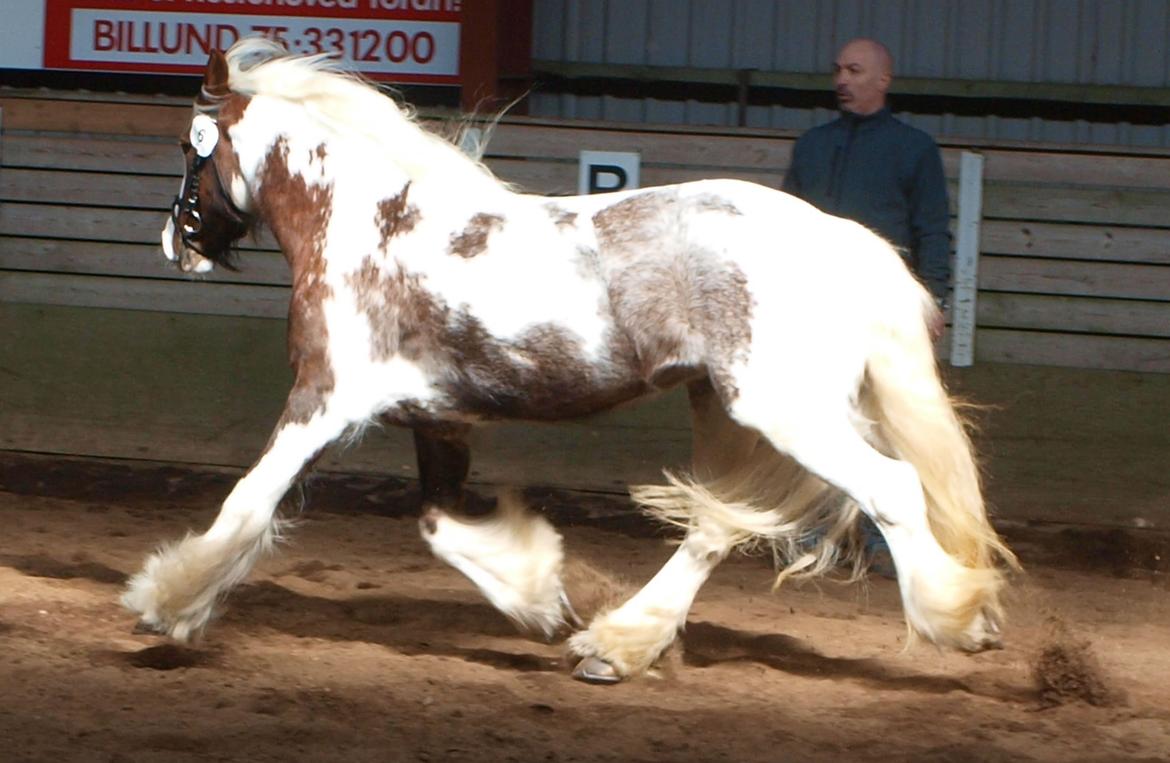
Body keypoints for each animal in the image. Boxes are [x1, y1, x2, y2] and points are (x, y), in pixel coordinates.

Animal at [121, 40, 1015, 683]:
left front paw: (163, 604)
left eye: (190, 148)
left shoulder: (324, 401)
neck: (368, 228)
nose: (174, 242)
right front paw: (543, 596)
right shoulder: (437, 418)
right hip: (730, 409)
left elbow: (249, 500)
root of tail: (841, 238)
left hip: (785, 411)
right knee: (717, 523)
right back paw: (613, 646)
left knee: (888, 490)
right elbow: (440, 526)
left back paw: (958, 615)